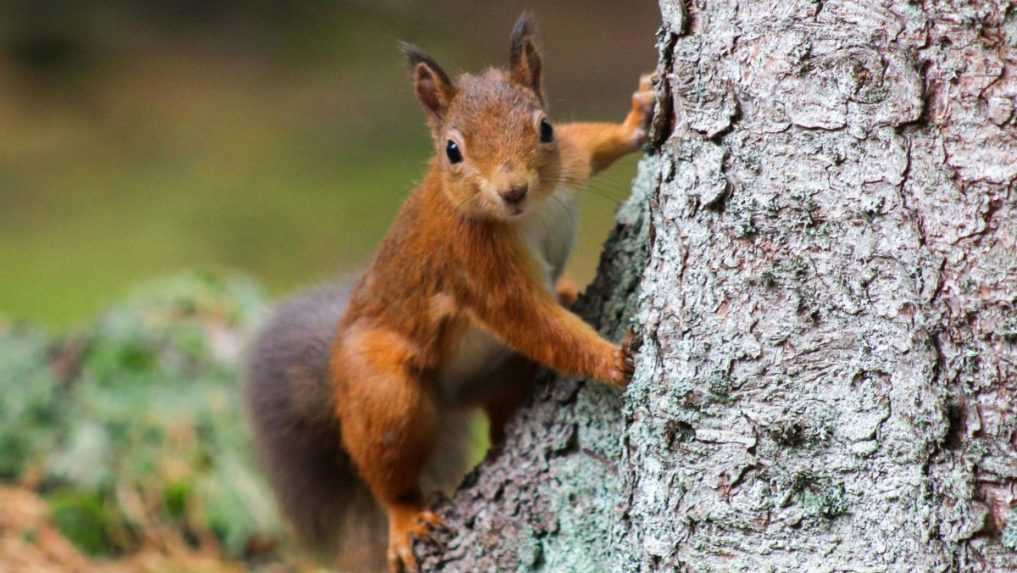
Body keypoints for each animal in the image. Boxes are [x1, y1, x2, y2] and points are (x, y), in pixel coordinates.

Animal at [246, 12, 650, 573]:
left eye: (544, 127)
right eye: (452, 151)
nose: (513, 190)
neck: (527, 215)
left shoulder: (569, 160)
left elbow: (589, 141)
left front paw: (638, 117)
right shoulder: (476, 266)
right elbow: (533, 322)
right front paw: (612, 360)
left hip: (499, 375)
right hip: (383, 391)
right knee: (387, 466)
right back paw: (404, 518)